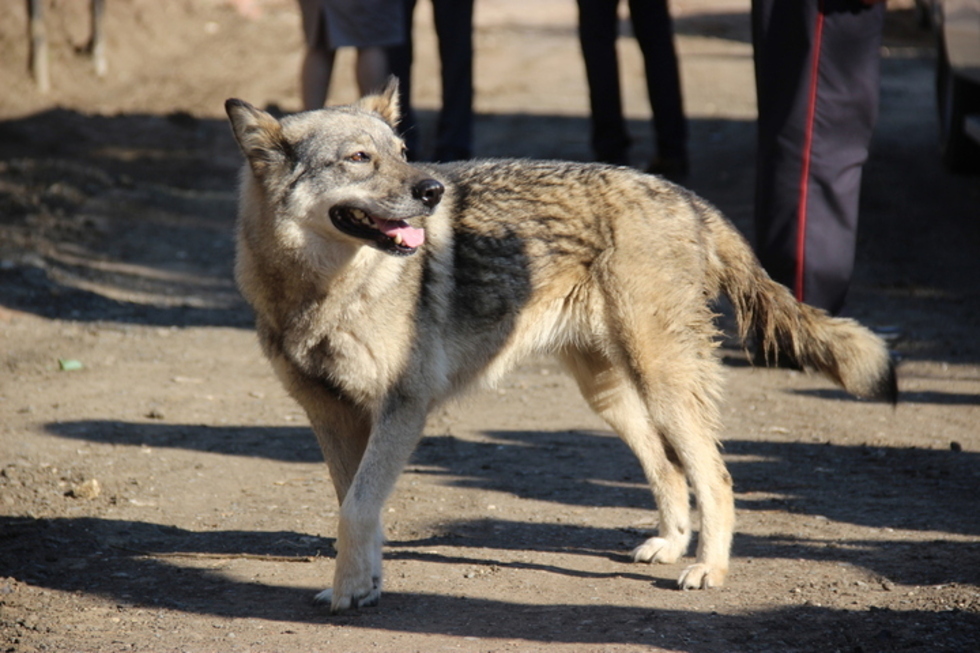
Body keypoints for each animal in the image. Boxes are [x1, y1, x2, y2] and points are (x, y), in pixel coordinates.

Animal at [224, 81, 896, 612]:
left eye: (403, 154)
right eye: (360, 158)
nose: (432, 190)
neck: (322, 291)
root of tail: (686, 198)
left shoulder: (401, 410)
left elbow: (359, 507)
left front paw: (349, 592)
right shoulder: (332, 416)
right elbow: (353, 507)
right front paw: (361, 585)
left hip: (662, 385)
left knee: (717, 476)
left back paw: (708, 568)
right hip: (612, 396)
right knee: (668, 469)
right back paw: (669, 545)